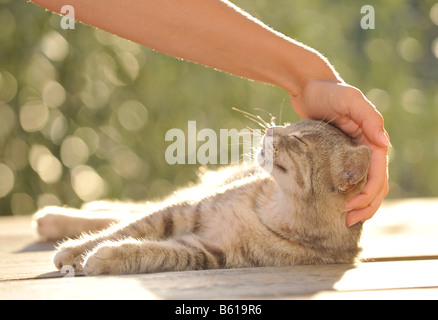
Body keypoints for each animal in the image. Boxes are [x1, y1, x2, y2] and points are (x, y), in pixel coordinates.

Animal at [32, 120, 372, 276]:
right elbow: (127, 229)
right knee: (134, 210)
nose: (270, 129)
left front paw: (107, 256)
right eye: (290, 123)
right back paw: (63, 216)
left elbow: (152, 251)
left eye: (298, 140)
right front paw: (76, 249)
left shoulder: (210, 253)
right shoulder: (186, 211)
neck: (274, 207)